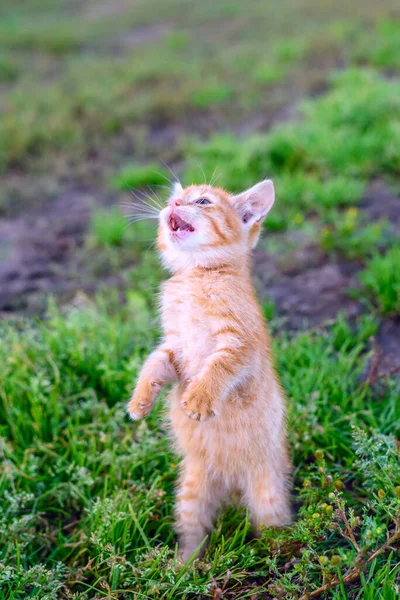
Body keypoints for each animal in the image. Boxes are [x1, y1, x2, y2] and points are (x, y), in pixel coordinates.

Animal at [127, 179, 290, 564]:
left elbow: (218, 366)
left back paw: (282, 560)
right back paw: (184, 566)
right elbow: (153, 364)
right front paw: (140, 400)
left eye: (202, 201)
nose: (172, 204)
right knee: (194, 531)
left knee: (274, 527)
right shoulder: (174, 348)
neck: (195, 275)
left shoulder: (240, 344)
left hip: (267, 494)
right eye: (176, 197)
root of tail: (231, 486)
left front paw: (200, 397)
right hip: (191, 490)